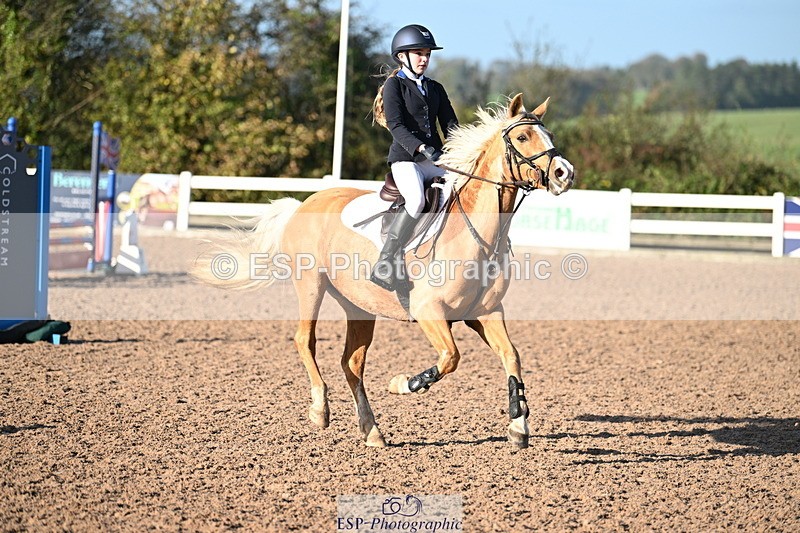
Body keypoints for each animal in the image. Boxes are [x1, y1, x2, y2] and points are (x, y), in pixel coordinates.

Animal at [192, 93, 575, 448]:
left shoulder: (485, 312)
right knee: (305, 341)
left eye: (550, 134)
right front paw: (404, 384)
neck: (476, 234)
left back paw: (372, 431)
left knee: (351, 363)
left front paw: (518, 426)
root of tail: (304, 202)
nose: (564, 173)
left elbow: (512, 357)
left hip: (359, 305)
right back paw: (320, 410)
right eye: (523, 137)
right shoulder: (428, 311)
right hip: (311, 285)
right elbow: (451, 357)